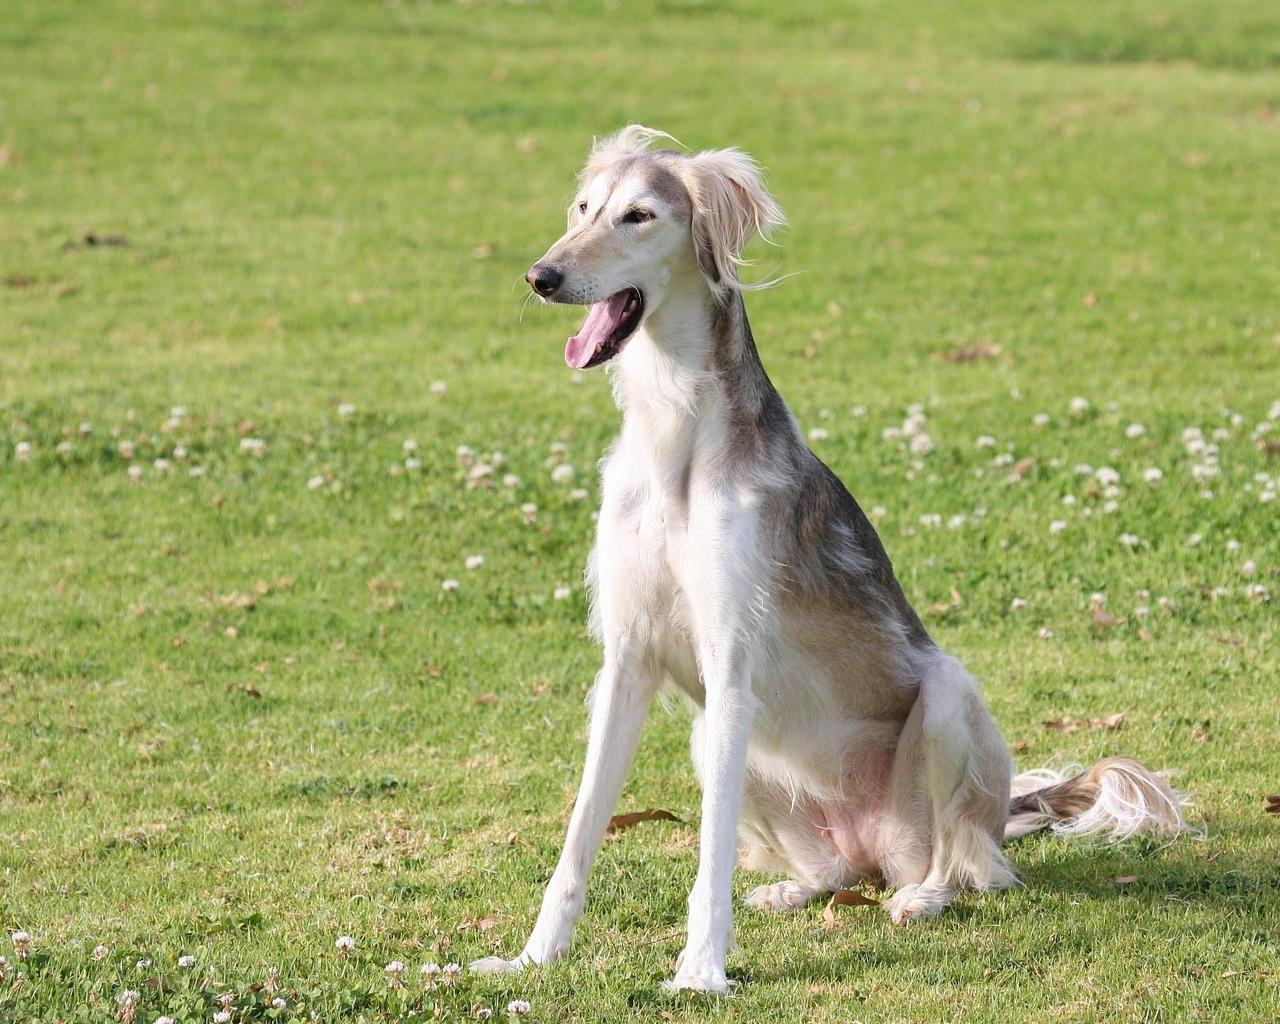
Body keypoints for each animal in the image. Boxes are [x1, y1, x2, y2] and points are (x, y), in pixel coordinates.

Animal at [471, 126, 1187, 993]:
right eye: (582, 208)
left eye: (639, 216)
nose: (542, 277)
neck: (675, 435)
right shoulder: (628, 662)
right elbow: (579, 835)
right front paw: (533, 956)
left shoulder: (730, 665)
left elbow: (708, 858)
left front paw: (701, 969)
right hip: (719, 744)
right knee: (837, 873)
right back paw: (799, 887)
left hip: (942, 705)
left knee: (958, 864)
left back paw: (924, 896)